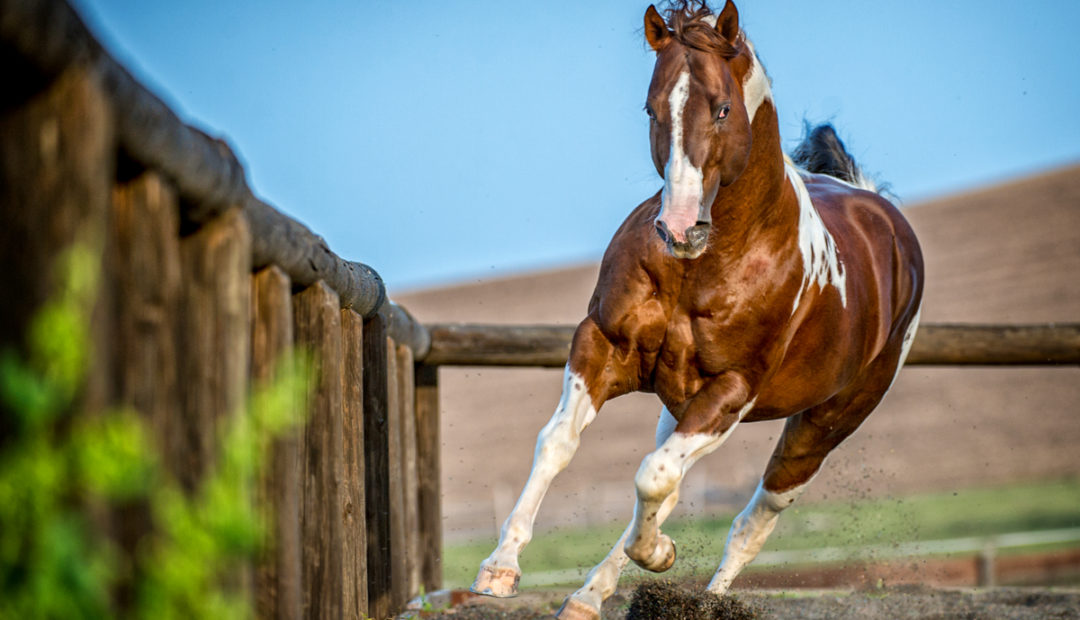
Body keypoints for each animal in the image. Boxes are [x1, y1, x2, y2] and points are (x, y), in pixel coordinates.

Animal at [470, 2, 920, 617]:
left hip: (824, 425)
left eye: (724, 107)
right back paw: (588, 595)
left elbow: (655, 477)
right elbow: (560, 443)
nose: (680, 228)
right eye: (652, 107)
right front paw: (500, 569)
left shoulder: (730, 391)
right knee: (675, 486)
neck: (707, 266)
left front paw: (660, 556)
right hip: (678, 406)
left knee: (753, 521)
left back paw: (700, 593)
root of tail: (879, 206)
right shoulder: (603, 345)